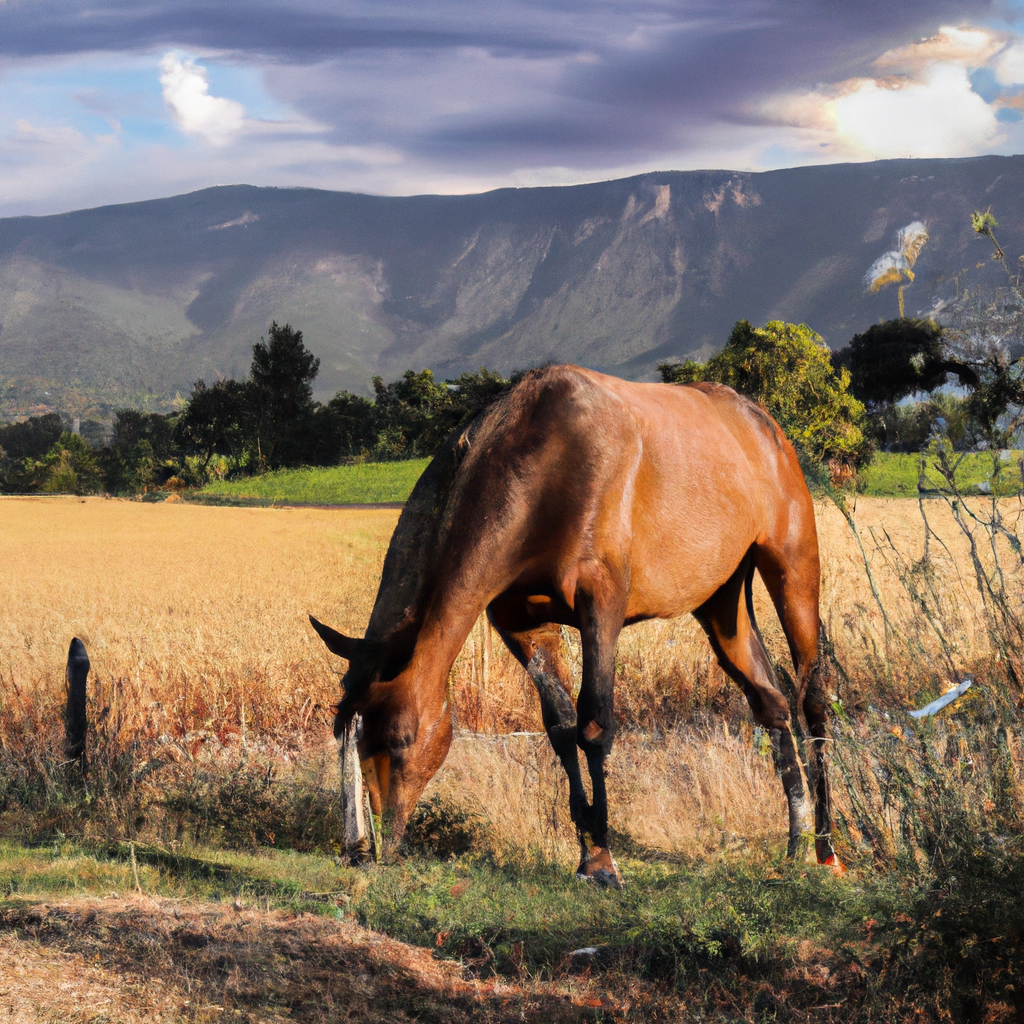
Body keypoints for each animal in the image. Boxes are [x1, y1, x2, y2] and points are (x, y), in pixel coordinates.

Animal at [307, 364, 843, 884]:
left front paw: (605, 861)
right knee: (772, 704)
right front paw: (588, 854)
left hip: (793, 566)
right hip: (721, 601)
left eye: (399, 739)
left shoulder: (600, 606)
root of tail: (763, 423)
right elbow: (562, 728)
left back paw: (827, 849)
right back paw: (795, 843)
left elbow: (594, 724)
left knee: (813, 698)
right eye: (346, 735)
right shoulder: (521, 624)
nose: (370, 847)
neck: (549, 464)